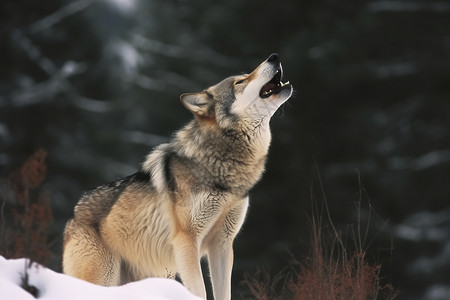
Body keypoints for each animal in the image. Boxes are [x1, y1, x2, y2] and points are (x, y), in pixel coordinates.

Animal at [63, 52, 294, 298]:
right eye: (240, 81)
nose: (274, 56)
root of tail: (73, 215)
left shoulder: (223, 244)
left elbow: (223, 292)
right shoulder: (186, 242)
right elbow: (199, 291)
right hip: (104, 278)